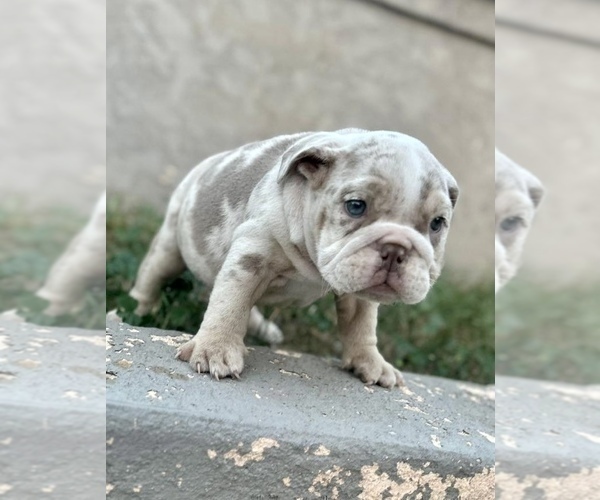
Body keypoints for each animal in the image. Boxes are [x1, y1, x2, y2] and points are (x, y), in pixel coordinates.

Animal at [131, 129, 460, 386]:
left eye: (437, 223)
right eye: (355, 206)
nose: (396, 249)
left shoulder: (359, 294)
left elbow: (362, 327)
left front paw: (371, 363)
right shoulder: (250, 258)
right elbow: (230, 304)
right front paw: (216, 350)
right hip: (171, 242)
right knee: (153, 276)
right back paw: (138, 311)